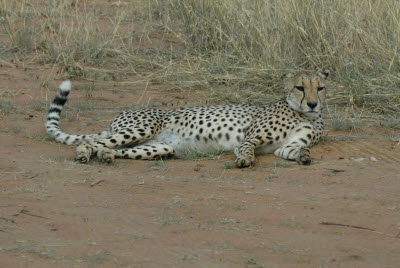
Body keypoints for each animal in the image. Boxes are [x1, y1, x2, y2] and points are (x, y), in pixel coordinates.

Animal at [45, 70, 330, 166]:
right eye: (300, 88)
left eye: (320, 88)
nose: (313, 103)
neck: (303, 114)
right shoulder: (248, 139)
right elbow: (246, 149)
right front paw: (245, 160)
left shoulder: (286, 146)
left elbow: (295, 150)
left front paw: (304, 156)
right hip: (141, 128)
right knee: (90, 143)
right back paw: (84, 155)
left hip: (159, 147)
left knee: (114, 149)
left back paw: (107, 156)